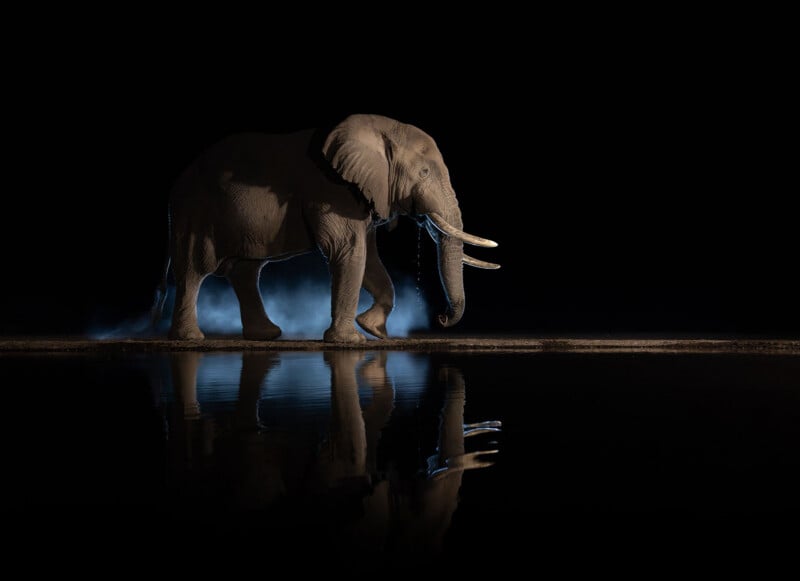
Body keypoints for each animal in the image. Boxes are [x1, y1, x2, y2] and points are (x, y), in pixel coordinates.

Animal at [151, 114, 500, 342]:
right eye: (424, 172)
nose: (441, 318)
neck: (381, 130)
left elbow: (368, 257)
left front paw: (373, 330)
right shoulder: (331, 189)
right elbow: (348, 251)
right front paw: (352, 341)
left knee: (246, 272)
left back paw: (266, 335)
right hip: (194, 212)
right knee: (195, 269)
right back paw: (191, 339)